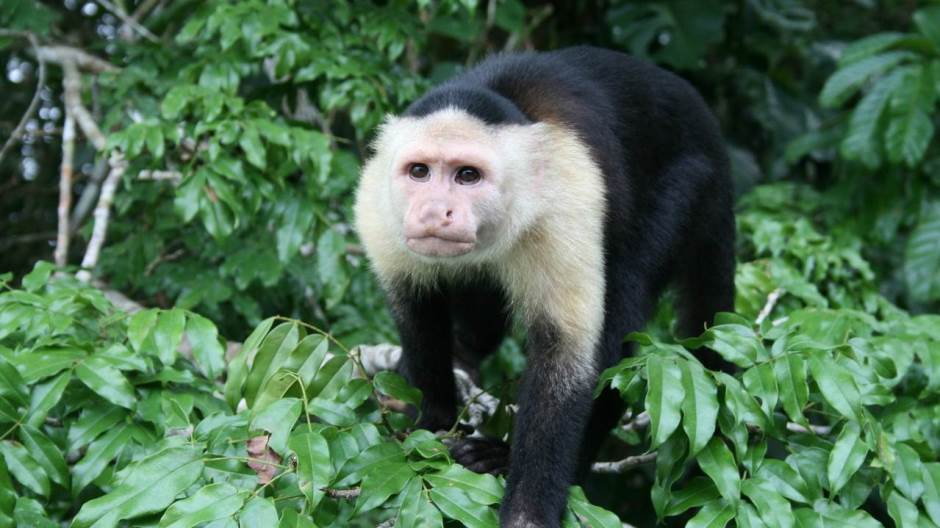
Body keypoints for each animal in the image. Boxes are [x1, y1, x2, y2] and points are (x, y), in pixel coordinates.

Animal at [354, 46, 734, 527]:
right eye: (419, 171)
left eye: (467, 176)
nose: (435, 210)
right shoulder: (376, 202)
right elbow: (417, 313)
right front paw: (432, 423)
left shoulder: (565, 201)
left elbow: (564, 357)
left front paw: (527, 511)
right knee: (480, 320)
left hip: (691, 183)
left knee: (623, 300)